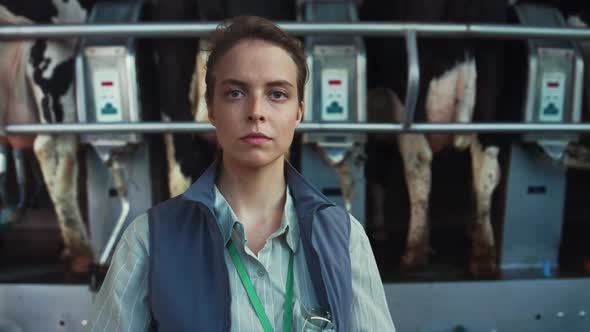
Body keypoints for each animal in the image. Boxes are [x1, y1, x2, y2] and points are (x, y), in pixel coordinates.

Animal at [360, 0, 508, 276]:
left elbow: (378, 171)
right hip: (489, 101)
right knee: (486, 169)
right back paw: (482, 254)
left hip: (409, 104)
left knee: (418, 165)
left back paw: (415, 251)